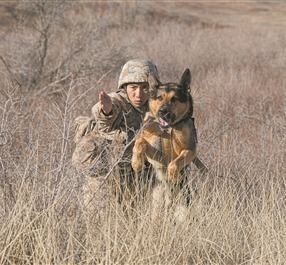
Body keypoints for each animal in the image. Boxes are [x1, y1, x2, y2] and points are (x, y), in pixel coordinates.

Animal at [131, 68, 207, 219]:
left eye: (174, 99)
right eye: (160, 98)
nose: (163, 111)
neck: (169, 128)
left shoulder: (190, 151)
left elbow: (174, 163)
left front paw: (174, 177)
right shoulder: (155, 153)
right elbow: (140, 141)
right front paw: (136, 161)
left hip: (182, 213)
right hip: (155, 208)